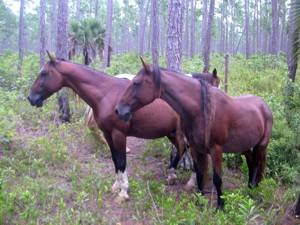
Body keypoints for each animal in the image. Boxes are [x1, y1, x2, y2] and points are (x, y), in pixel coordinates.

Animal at [27, 51, 188, 203]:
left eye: (44, 73)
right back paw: (172, 175)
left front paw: (123, 193)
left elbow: (122, 161)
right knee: (182, 149)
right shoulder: (107, 134)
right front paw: (116, 186)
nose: (31, 98)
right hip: (171, 132)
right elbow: (115, 159)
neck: (107, 94)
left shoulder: (119, 134)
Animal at [115, 58, 274, 209]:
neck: (201, 112)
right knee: (251, 163)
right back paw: (250, 187)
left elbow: (217, 178)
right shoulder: (196, 148)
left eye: (136, 83)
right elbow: (199, 174)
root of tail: (264, 106)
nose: (118, 110)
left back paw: (252, 191)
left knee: (256, 165)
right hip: (245, 145)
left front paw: (220, 205)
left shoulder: (216, 150)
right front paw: (199, 201)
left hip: (261, 145)